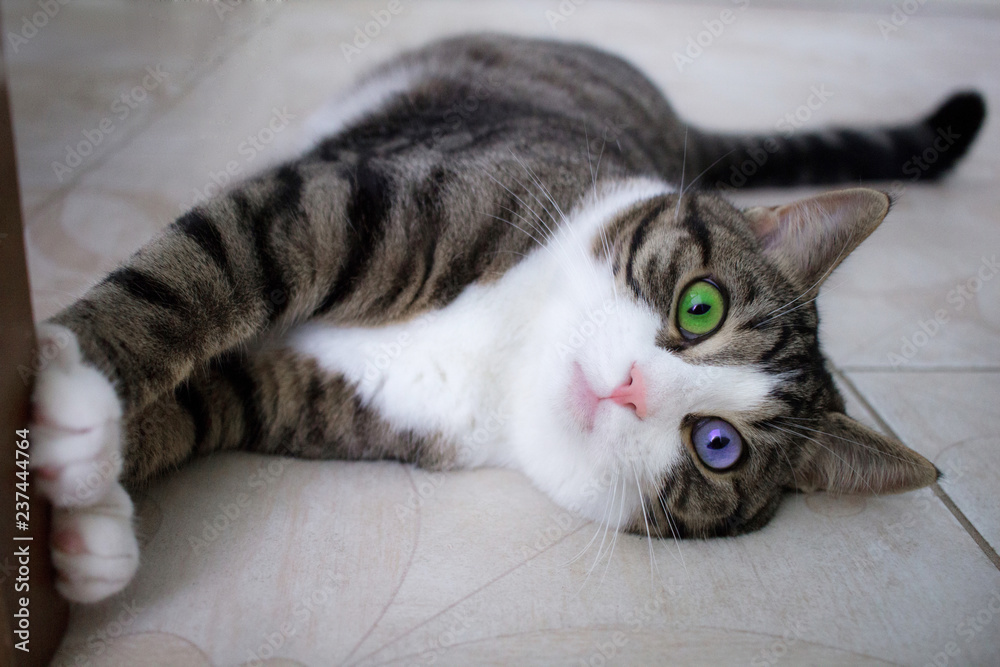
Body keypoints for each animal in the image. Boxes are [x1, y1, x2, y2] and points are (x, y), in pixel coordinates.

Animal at [29, 34, 984, 604]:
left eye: (718, 446)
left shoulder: (325, 397)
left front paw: (87, 512)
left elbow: (203, 402)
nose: (631, 388)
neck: (510, 349)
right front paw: (67, 380)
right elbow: (196, 273)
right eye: (699, 305)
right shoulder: (361, 206)